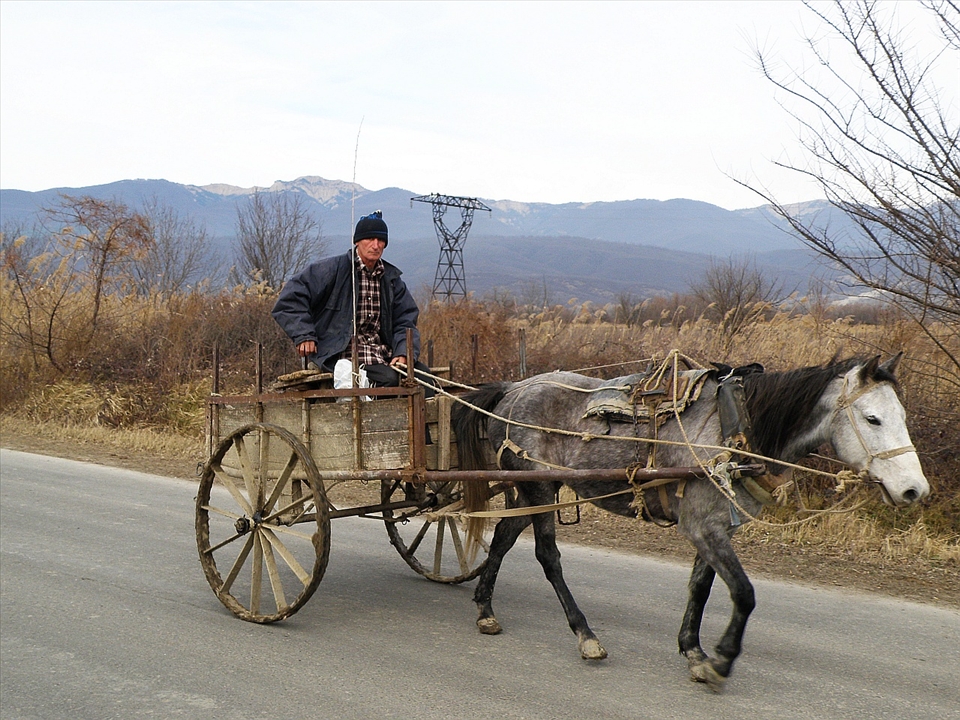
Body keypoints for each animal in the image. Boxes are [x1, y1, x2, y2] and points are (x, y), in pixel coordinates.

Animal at [452, 354, 929, 691]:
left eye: (904, 416)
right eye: (872, 418)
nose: (914, 490)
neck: (737, 432)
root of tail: (516, 387)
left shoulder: (716, 527)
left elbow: (701, 587)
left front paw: (694, 651)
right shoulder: (702, 527)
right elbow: (743, 593)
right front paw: (722, 660)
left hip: (530, 490)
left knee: (503, 536)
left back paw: (485, 608)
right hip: (539, 487)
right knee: (547, 555)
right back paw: (584, 634)